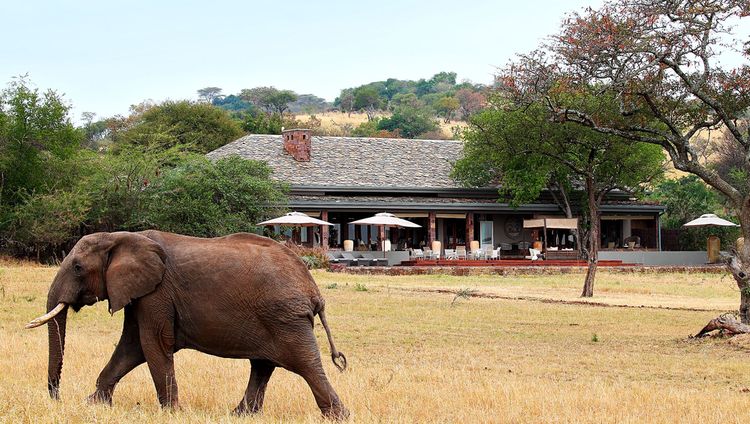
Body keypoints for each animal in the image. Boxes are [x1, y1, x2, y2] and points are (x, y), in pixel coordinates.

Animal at [26, 230, 350, 420]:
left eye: (78, 267)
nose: (56, 398)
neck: (123, 236)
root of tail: (313, 289)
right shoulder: (141, 293)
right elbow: (132, 347)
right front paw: (93, 404)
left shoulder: (157, 293)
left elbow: (153, 343)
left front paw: (172, 413)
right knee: (263, 365)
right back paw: (239, 415)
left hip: (285, 318)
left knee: (305, 364)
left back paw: (338, 416)